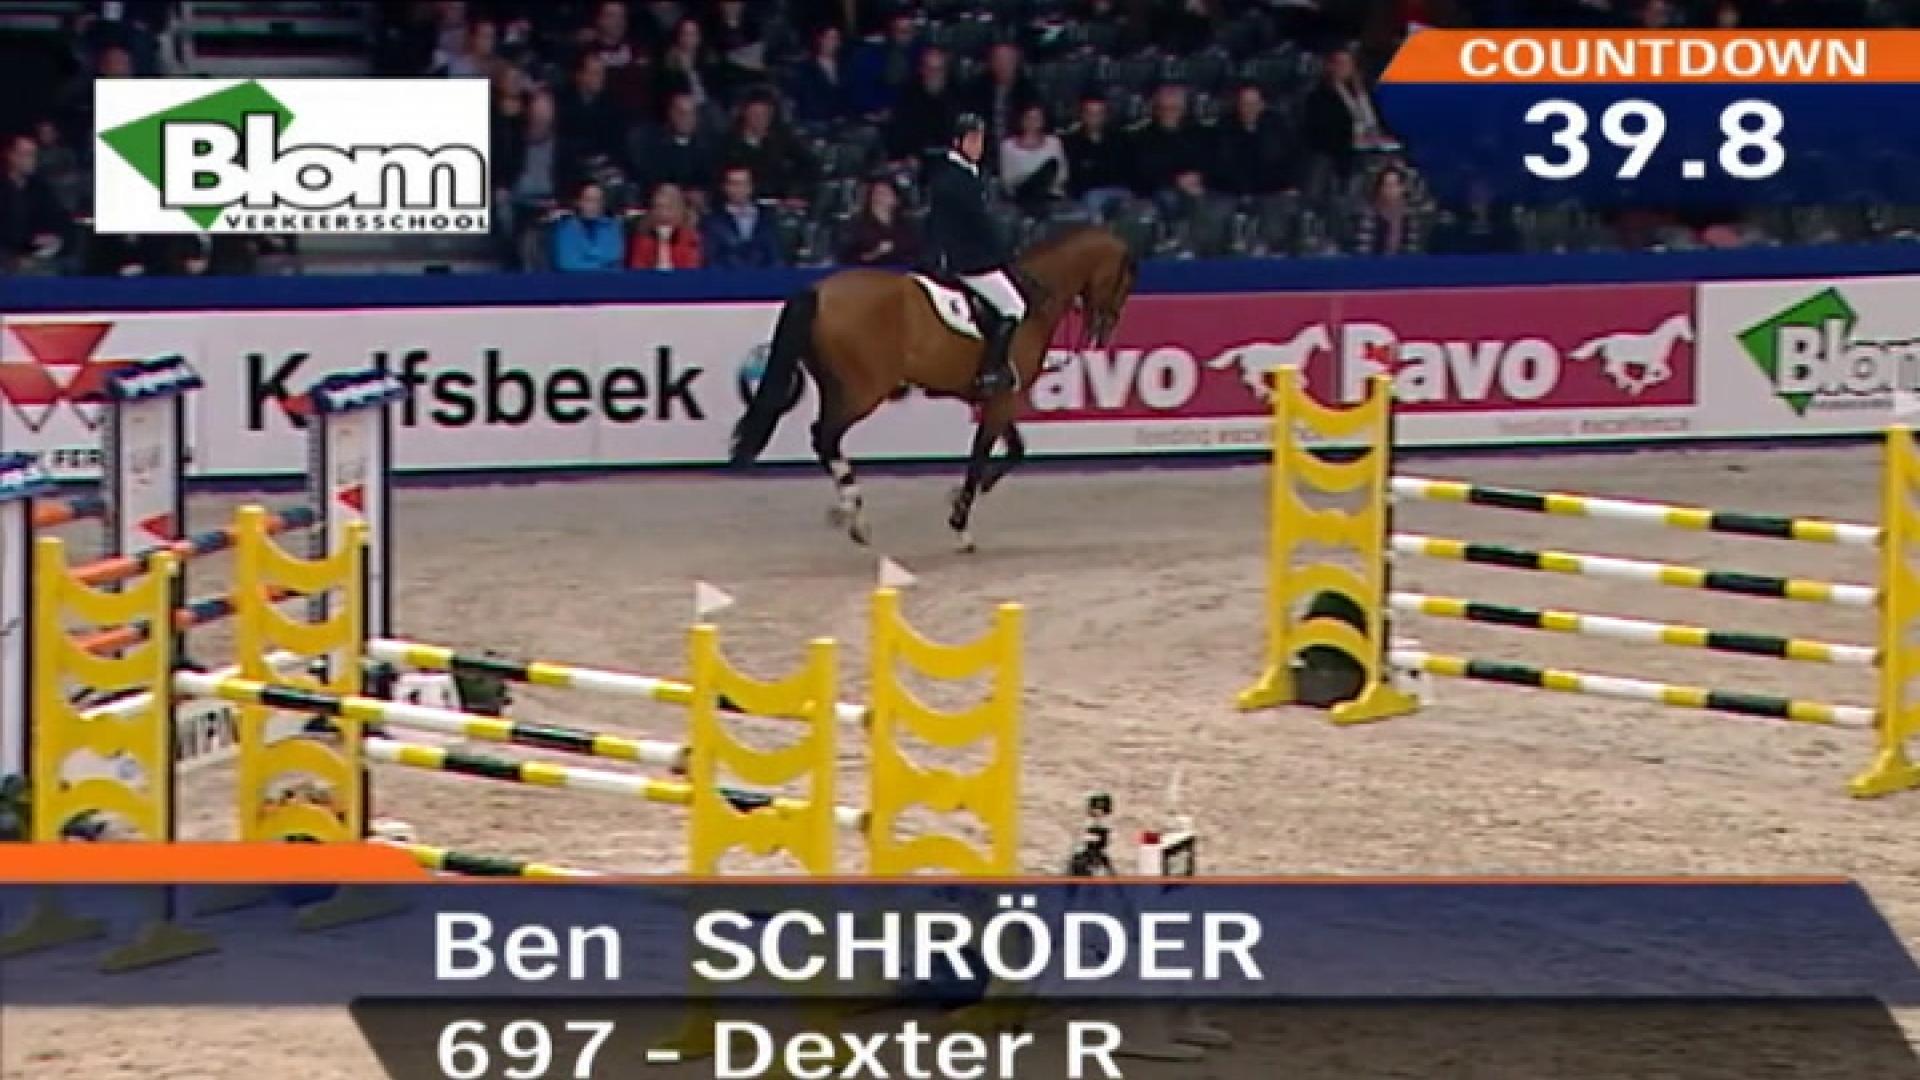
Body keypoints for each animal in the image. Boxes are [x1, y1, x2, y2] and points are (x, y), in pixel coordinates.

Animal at [729, 223, 1138, 552]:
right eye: (1125, 279)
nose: (1105, 329)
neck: (1034, 297)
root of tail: (817, 291)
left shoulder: (996, 396)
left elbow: (1015, 450)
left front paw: (962, 497)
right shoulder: (1003, 397)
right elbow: (981, 455)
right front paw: (961, 525)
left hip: (838, 386)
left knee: (826, 439)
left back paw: (852, 514)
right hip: (863, 392)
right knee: (824, 434)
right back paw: (852, 514)